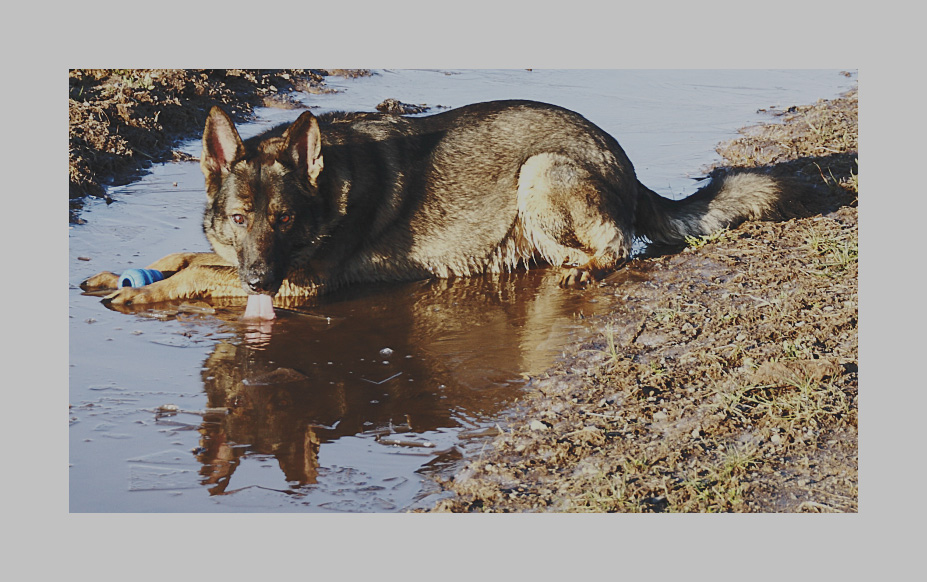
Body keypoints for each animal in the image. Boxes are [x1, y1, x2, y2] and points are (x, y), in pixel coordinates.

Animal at [81, 100, 792, 310]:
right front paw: (121, 273)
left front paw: (143, 291)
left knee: (615, 245)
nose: (258, 280)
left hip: (539, 171)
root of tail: (621, 155)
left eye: (282, 220)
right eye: (238, 219)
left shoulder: (298, 285)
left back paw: (581, 268)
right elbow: (187, 253)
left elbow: (195, 271)